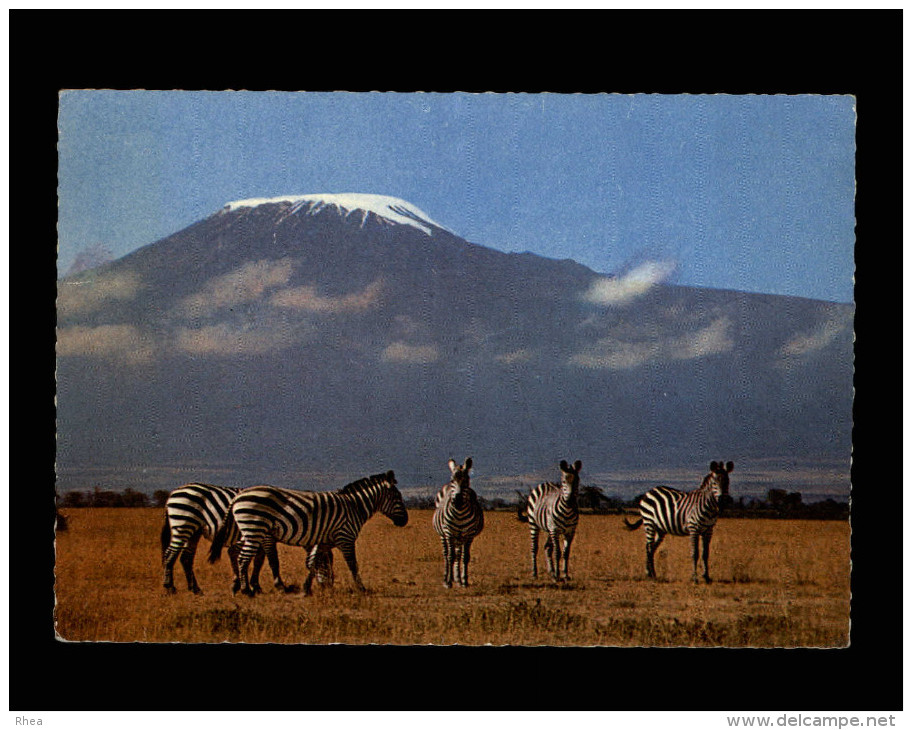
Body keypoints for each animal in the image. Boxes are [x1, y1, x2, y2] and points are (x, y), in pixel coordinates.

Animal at [208, 470, 408, 596]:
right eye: (398, 497)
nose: (405, 521)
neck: (354, 507)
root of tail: (237, 497)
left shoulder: (324, 541)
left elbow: (313, 563)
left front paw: (307, 588)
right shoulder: (346, 537)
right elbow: (353, 564)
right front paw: (362, 589)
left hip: (249, 530)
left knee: (237, 552)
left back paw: (240, 587)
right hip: (254, 529)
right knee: (243, 558)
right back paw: (246, 590)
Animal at [432, 456, 484, 584]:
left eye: (467, 480)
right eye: (452, 480)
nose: (458, 501)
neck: (459, 513)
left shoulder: (469, 535)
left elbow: (465, 557)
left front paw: (464, 580)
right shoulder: (449, 533)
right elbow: (450, 556)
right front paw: (449, 581)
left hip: (460, 537)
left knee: (458, 554)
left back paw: (458, 579)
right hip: (444, 535)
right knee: (446, 554)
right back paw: (446, 577)